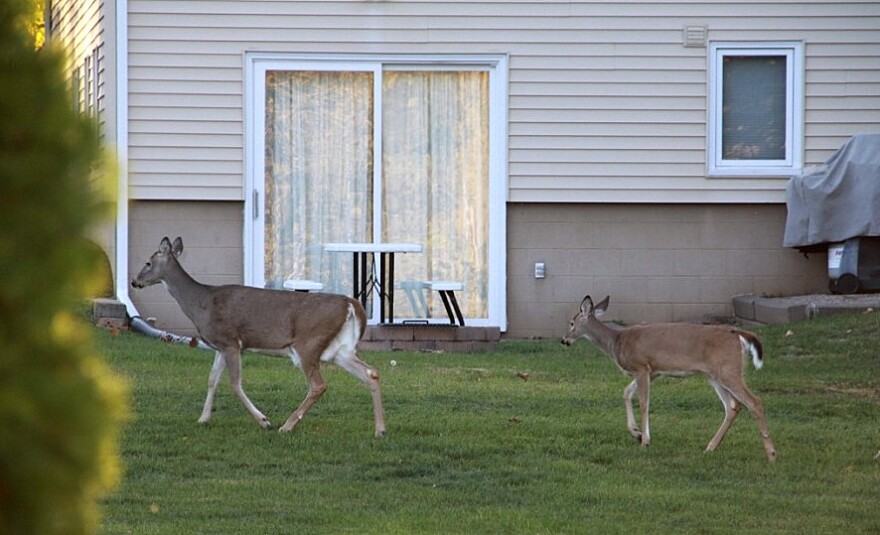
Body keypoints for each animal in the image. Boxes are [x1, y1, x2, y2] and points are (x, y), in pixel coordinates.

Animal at [130, 237, 384, 438]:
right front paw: (203, 418)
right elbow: (212, 379)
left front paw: (264, 421)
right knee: (371, 373)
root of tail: (351, 304)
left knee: (319, 385)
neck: (201, 303)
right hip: (340, 350)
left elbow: (234, 384)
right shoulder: (220, 346)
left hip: (308, 344)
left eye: (148, 263)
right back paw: (380, 429)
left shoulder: (231, 341)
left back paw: (287, 426)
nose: (134, 281)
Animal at [564, 296, 776, 462]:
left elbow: (643, 403)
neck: (616, 342)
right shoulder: (653, 372)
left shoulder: (641, 367)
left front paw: (644, 440)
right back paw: (710, 447)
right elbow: (626, 393)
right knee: (733, 406)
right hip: (715, 375)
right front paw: (636, 433)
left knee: (755, 402)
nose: (564, 340)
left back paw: (771, 454)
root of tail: (739, 334)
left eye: (572, 323)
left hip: (729, 371)